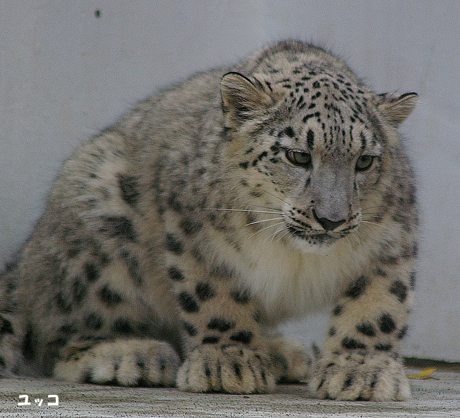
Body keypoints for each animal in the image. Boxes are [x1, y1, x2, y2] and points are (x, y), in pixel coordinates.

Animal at [0, 40, 416, 402]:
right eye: (298, 156)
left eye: (364, 161)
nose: (332, 219)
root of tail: (26, 263)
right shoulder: (194, 233)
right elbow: (214, 294)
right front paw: (229, 363)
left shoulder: (392, 239)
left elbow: (378, 306)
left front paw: (362, 371)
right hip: (101, 225)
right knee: (61, 336)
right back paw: (132, 354)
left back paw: (280, 352)